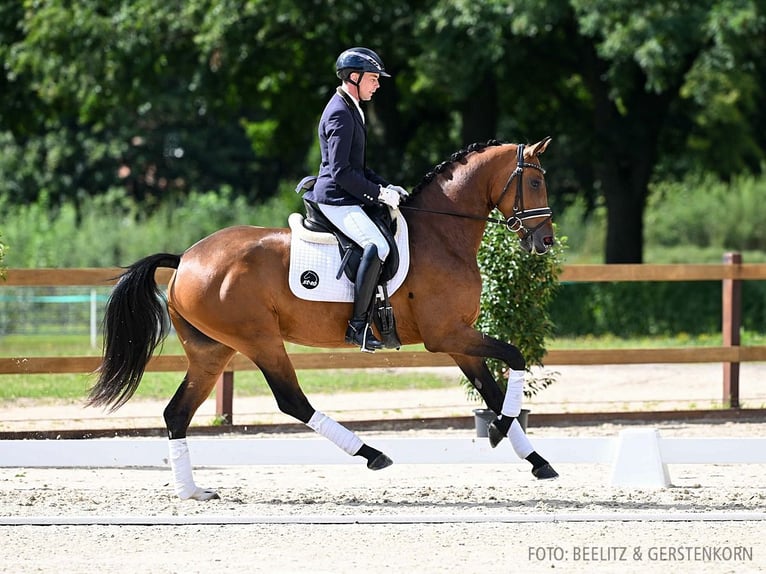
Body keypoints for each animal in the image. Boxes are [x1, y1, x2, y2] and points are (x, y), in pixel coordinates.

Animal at [87, 137, 560, 502]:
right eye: (535, 182)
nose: (545, 241)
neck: (442, 235)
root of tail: (185, 258)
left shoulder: (458, 339)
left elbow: (494, 391)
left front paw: (537, 461)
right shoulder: (447, 335)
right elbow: (514, 359)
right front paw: (498, 433)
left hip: (211, 351)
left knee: (177, 414)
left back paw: (192, 492)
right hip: (259, 340)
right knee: (291, 401)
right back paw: (371, 454)